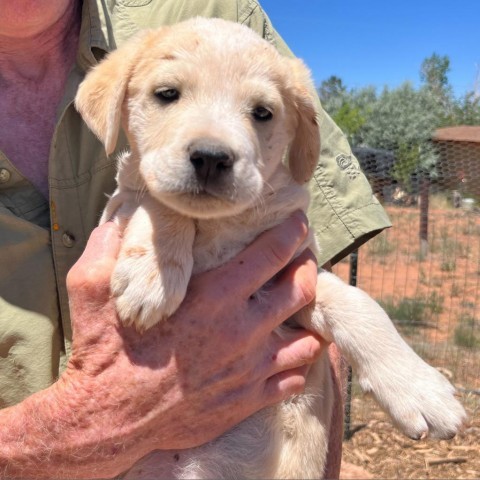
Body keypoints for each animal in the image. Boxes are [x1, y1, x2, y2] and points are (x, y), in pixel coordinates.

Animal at [76, 16, 464, 478]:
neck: (219, 227)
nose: (211, 158)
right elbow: (156, 200)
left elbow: (359, 305)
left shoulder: (295, 280)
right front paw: (151, 274)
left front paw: (422, 391)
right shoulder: (118, 205)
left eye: (262, 113)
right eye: (167, 94)